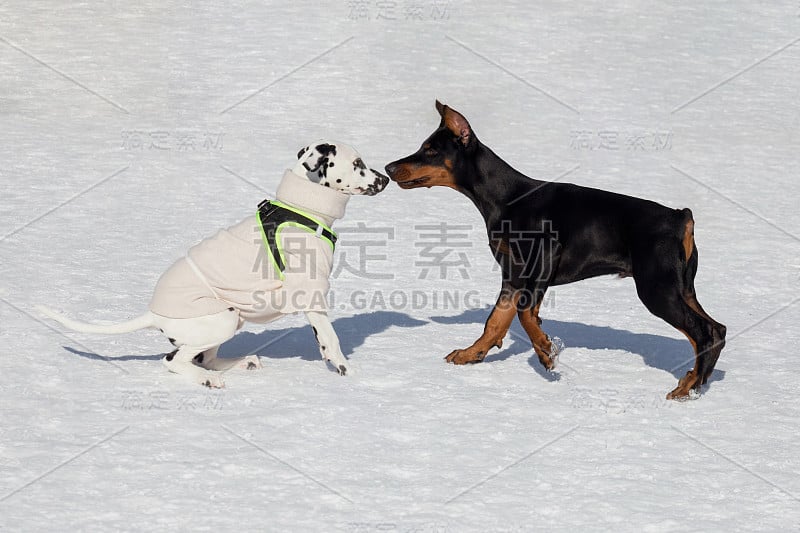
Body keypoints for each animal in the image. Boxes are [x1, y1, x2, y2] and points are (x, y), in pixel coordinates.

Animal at [40, 141, 390, 386]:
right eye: (357, 163)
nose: (385, 178)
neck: (303, 208)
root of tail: (154, 313)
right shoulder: (312, 296)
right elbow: (331, 341)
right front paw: (350, 375)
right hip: (222, 319)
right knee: (173, 361)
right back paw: (208, 380)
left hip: (231, 321)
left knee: (203, 358)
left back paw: (241, 362)